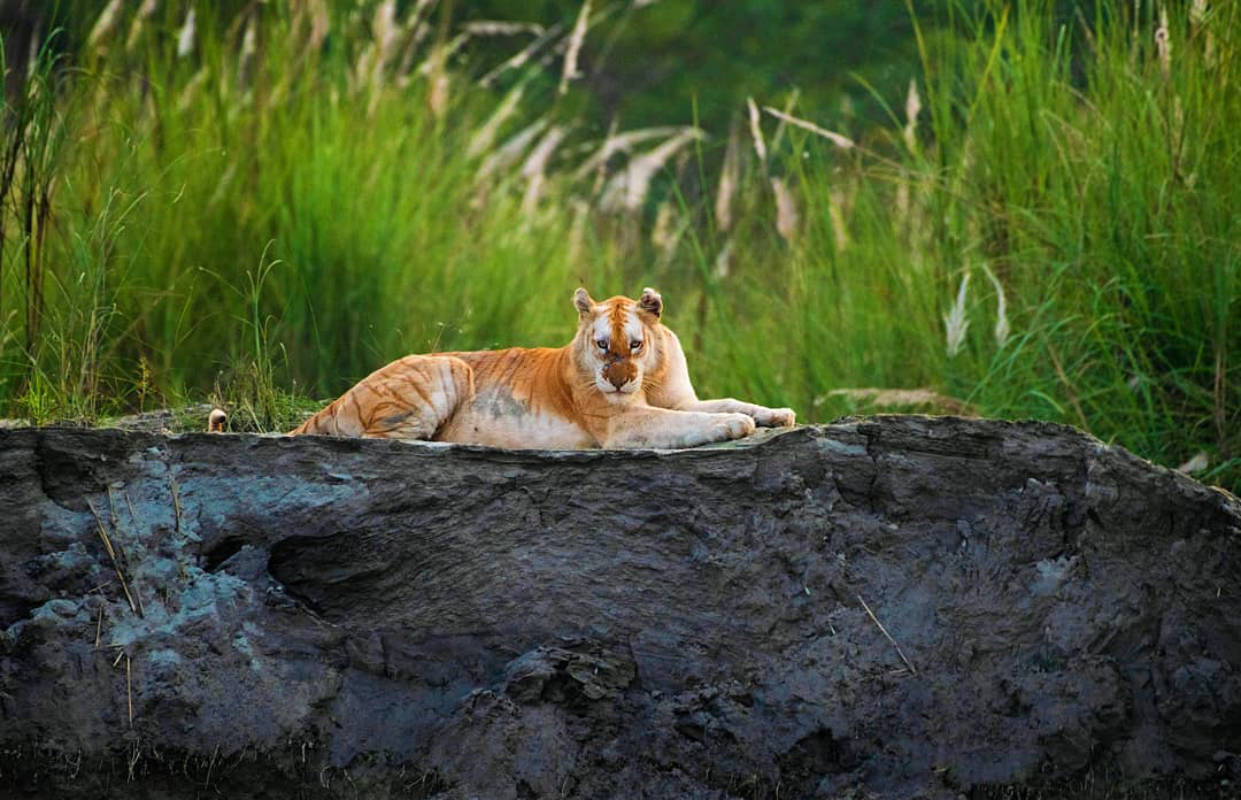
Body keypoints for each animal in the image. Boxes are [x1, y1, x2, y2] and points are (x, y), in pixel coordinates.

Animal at [212, 288, 794, 448]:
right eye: (602, 347)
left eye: (634, 344)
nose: (619, 379)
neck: (648, 376)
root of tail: (338, 399)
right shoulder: (622, 424)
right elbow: (694, 420)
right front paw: (736, 425)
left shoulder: (678, 397)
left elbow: (725, 400)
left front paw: (776, 414)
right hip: (444, 369)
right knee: (385, 443)